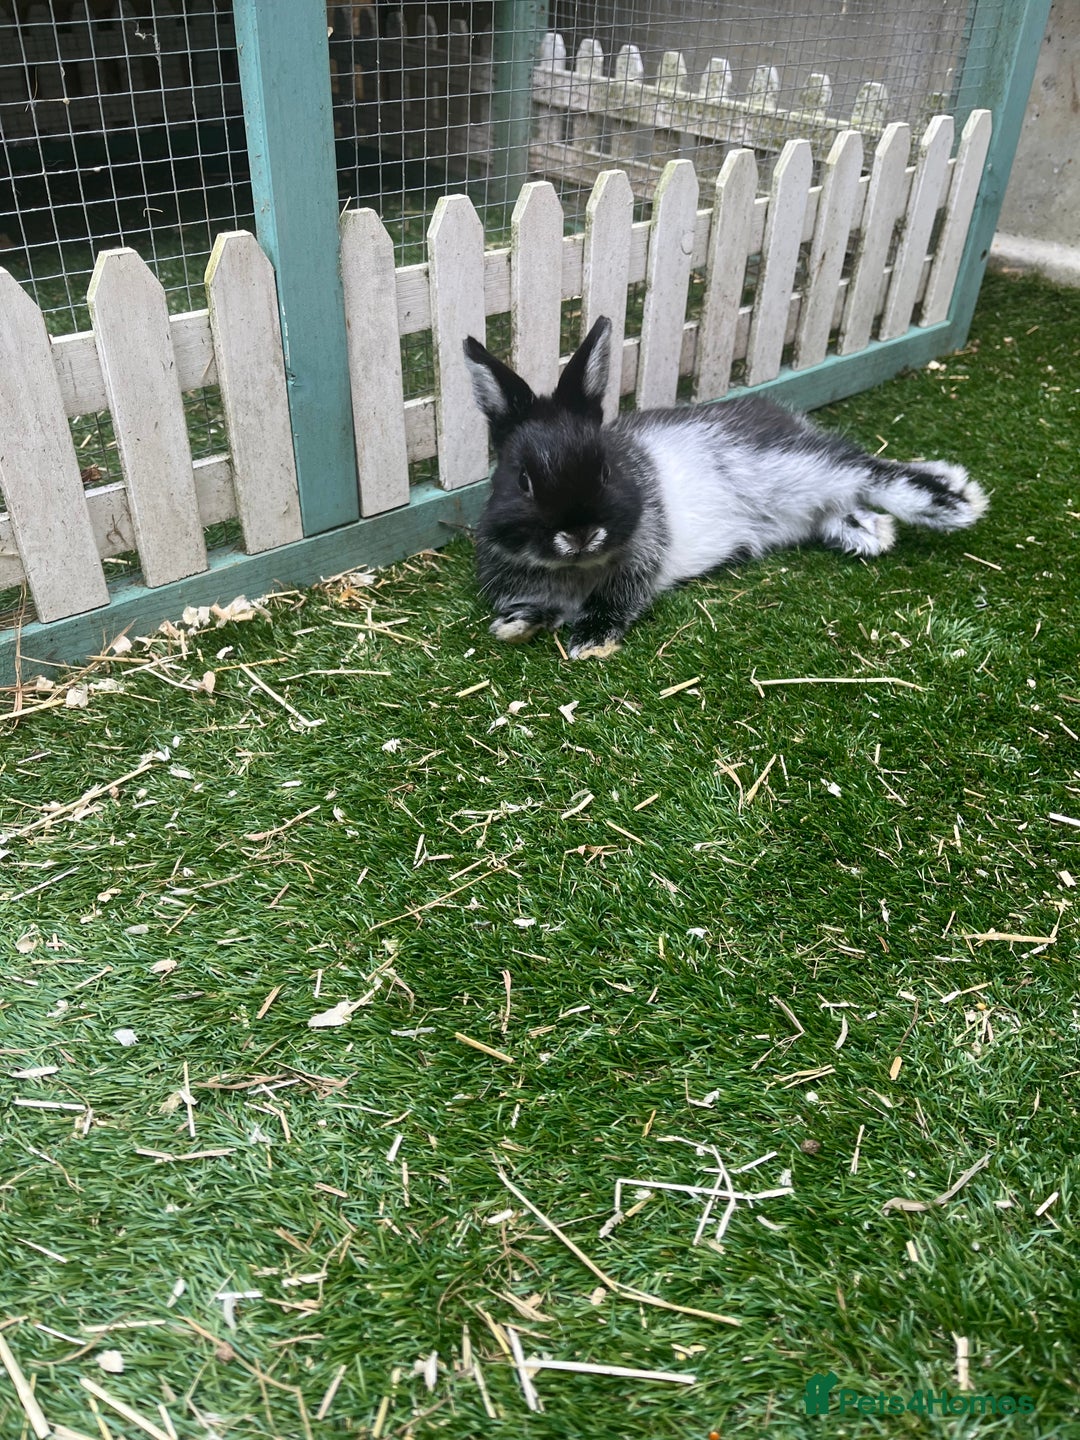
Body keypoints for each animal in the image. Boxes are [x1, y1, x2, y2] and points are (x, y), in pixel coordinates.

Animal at [463, 316, 988, 660]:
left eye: (606, 470)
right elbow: (540, 609)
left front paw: (591, 643)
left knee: (868, 471)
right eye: (522, 479)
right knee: (837, 505)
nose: (580, 534)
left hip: (801, 466)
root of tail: (788, 419)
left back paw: (951, 499)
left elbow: (614, 602)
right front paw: (513, 626)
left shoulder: (637, 567)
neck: (573, 569)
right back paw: (871, 533)